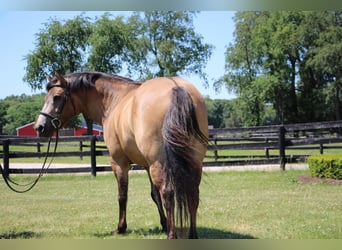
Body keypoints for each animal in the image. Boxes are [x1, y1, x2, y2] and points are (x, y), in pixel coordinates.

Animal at [36, 71, 210, 238]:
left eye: (57, 97)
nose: (39, 127)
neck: (115, 100)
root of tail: (176, 88)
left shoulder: (119, 162)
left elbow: (122, 195)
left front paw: (121, 228)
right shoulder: (146, 165)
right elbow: (154, 195)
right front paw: (164, 224)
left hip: (159, 163)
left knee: (168, 193)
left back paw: (172, 236)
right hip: (193, 163)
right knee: (193, 194)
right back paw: (192, 235)